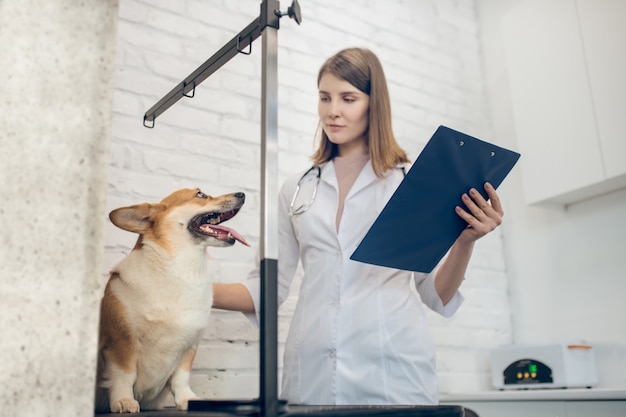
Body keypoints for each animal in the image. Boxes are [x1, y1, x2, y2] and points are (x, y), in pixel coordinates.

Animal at [94, 188, 249, 412]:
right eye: (200, 194)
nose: (242, 194)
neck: (181, 269)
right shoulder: (122, 341)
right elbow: (125, 375)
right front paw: (123, 400)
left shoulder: (189, 346)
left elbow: (181, 379)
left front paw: (188, 399)